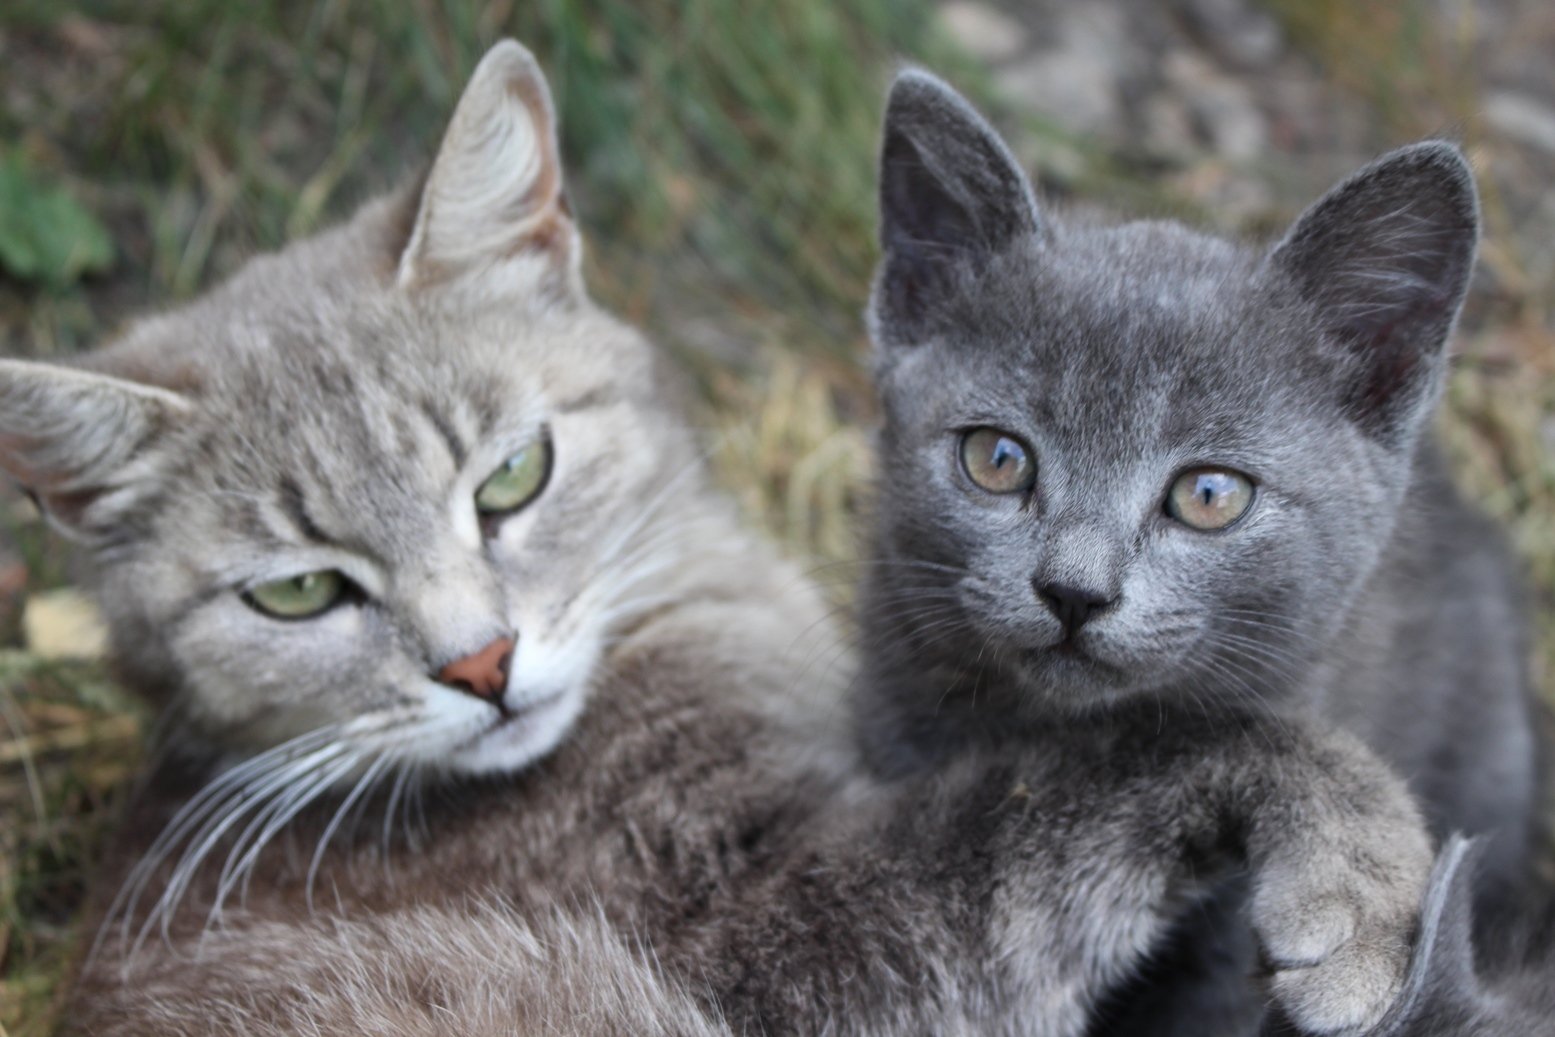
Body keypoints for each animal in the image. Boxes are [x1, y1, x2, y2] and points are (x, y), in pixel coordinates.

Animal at [0, 40, 1430, 1037]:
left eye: (512, 474)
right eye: (297, 594)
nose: (481, 662)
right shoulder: (790, 939)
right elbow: (1108, 762)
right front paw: (1364, 859)